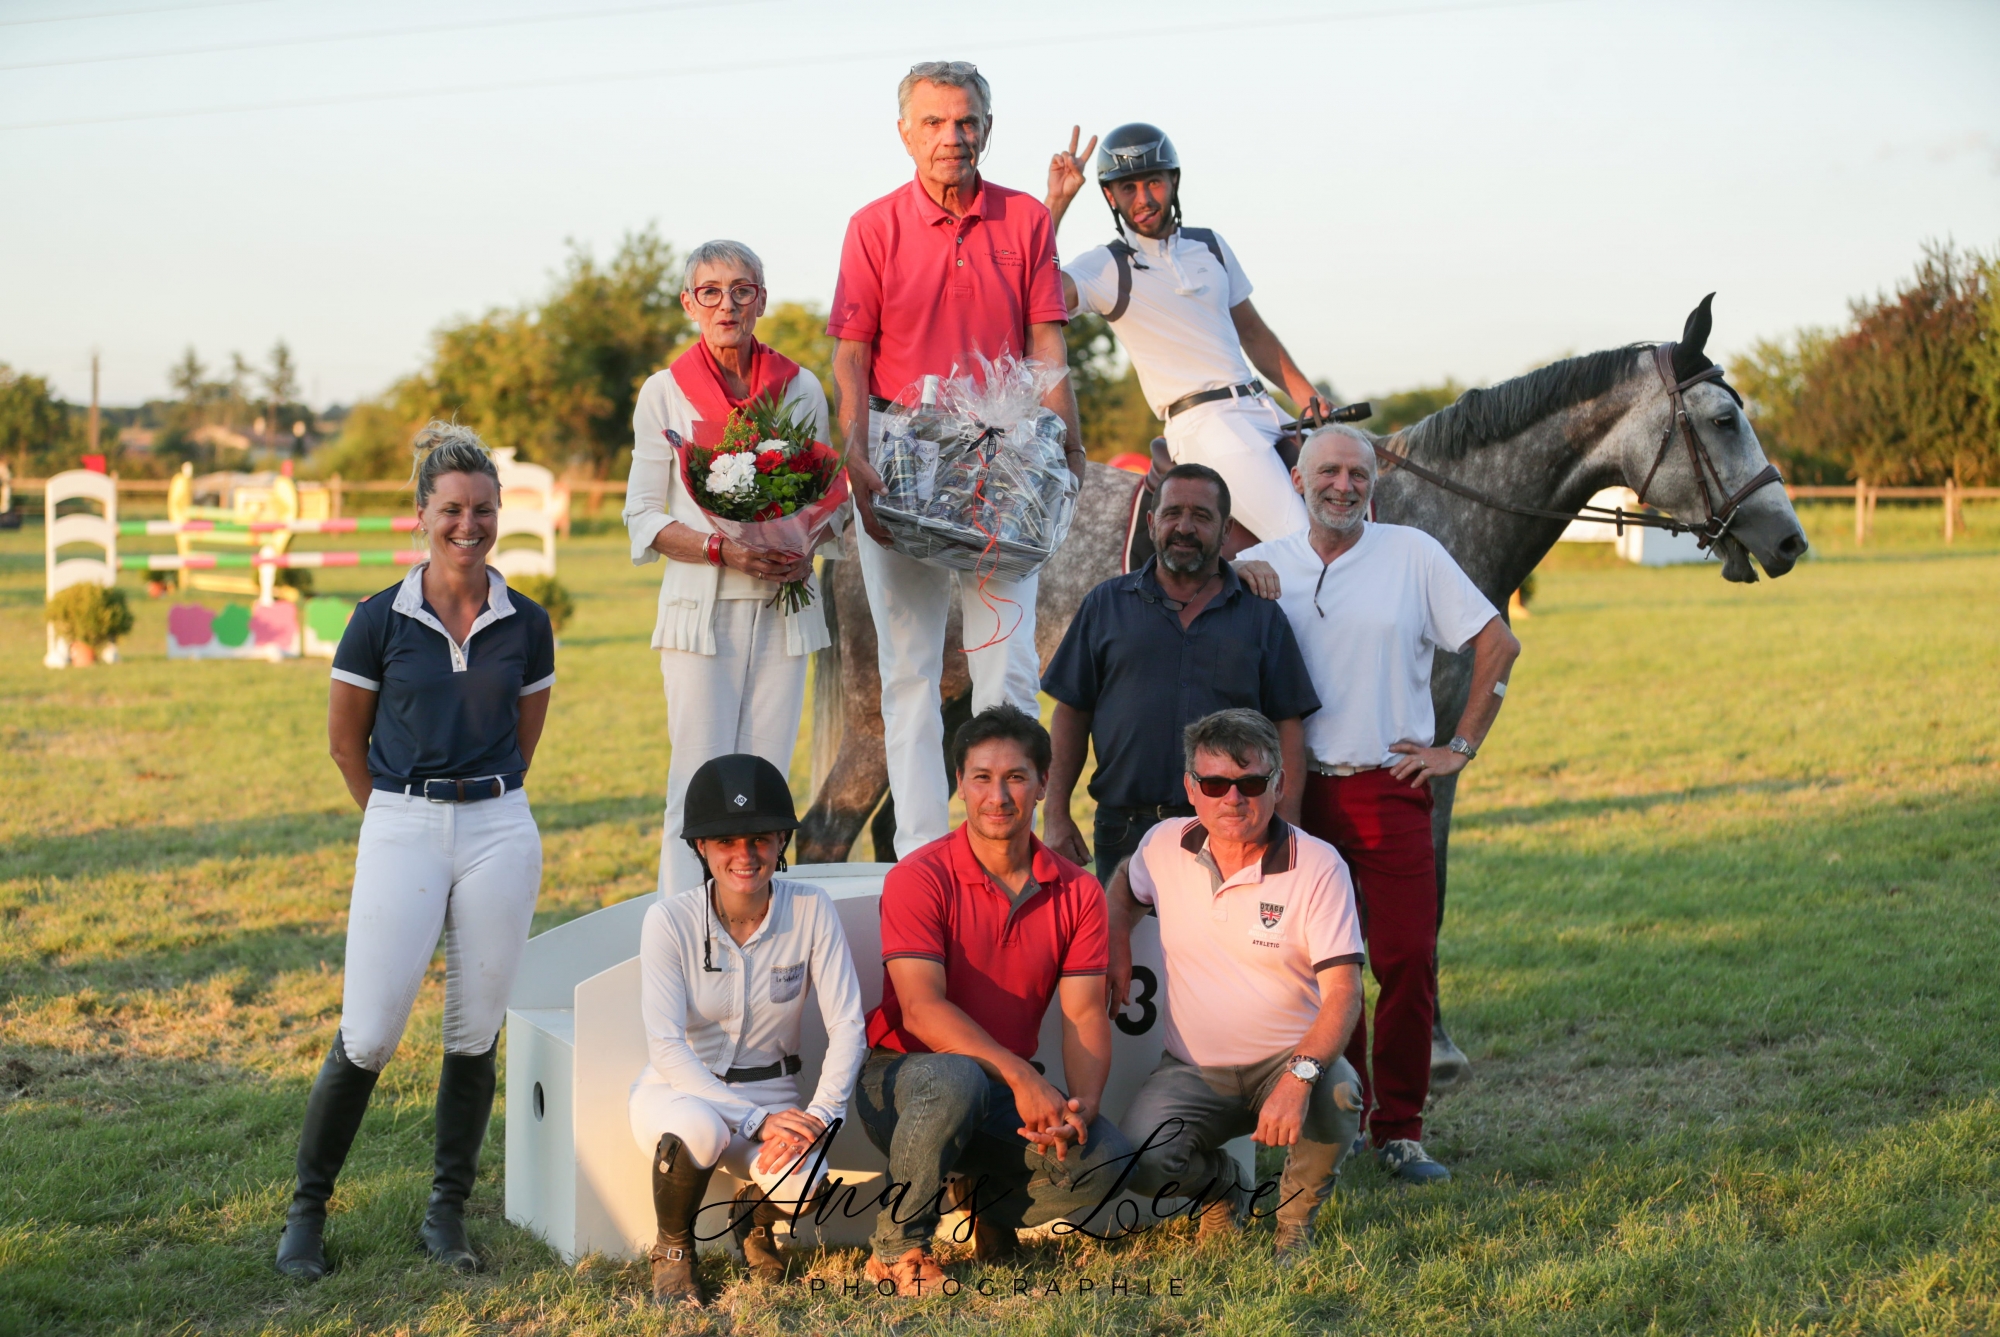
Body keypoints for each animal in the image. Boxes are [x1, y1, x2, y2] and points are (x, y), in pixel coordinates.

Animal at [796, 298, 1816, 1072]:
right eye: (1722, 420)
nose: (1788, 539)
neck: (1424, 512)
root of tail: (857, 515)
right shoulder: (1413, 757)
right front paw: (1418, 1045)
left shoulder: (1428, 757)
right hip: (880, 708)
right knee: (826, 829)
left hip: (951, 711)